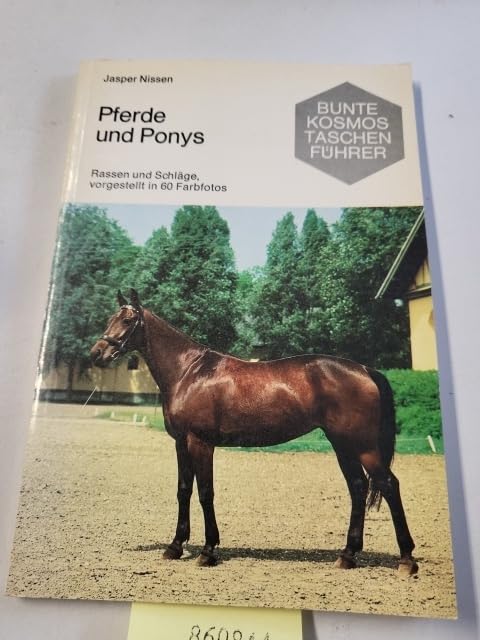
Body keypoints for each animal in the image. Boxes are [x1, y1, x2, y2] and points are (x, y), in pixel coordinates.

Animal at [90, 289, 417, 575]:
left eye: (128, 320)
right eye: (110, 318)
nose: (97, 353)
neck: (189, 372)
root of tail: (365, 370)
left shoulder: (201, 443)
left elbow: (205, 492)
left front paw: (208, 551)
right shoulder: (181, 444)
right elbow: (184, 491)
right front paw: (174, 547)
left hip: (363, 446)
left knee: (389, 485)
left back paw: (406, 560)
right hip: (343, 445)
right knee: (358, 488)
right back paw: (347, 555)